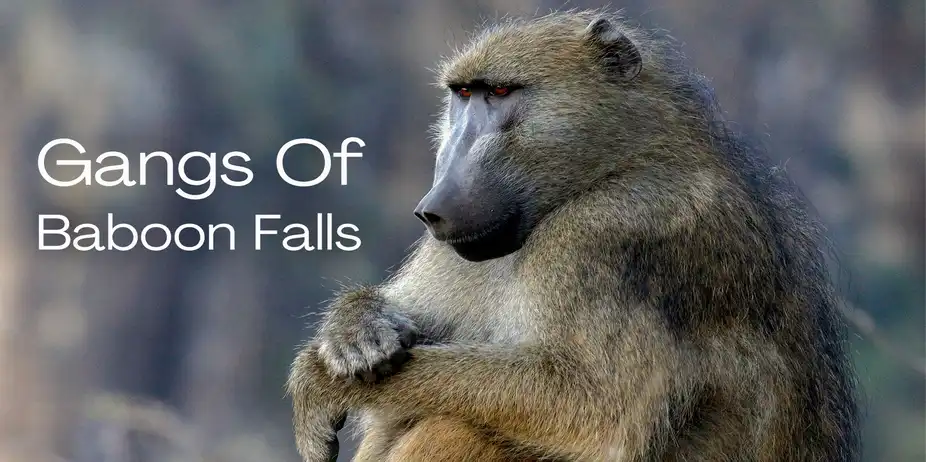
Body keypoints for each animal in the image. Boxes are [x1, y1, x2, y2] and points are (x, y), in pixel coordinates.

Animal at [286, 9, 861, 462]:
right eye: (463, 96)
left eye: (500, 92)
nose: (434, 209)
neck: (615, 164)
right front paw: (353, 330)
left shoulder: (610, 232)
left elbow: (593, 408)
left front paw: (319, 382)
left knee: (459, 426)